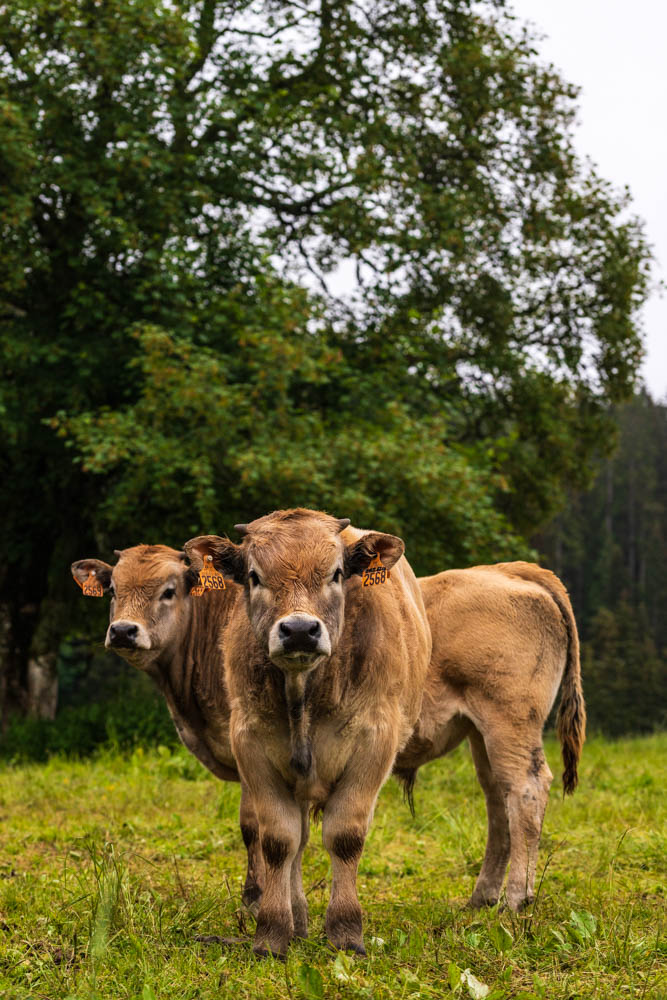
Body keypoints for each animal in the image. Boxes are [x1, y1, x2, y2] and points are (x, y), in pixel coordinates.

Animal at [184, 508, 432, 958]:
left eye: (336, 573)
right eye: (254, 576)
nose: (299, 629)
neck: (304, 695)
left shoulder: (375, 742)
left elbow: (346, 836)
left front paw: (346, 931)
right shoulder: (251, 745)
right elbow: (278, 841)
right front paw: (272, 931)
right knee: (296, 843)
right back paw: (296, 918)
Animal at [395, 561, 586, 912]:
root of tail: (508, 569)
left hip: (508, 722)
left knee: (527, 790)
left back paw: (517, 898)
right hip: (482, 737)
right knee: (500, 806)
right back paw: (483, 897)